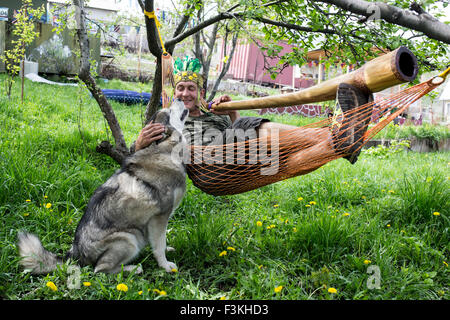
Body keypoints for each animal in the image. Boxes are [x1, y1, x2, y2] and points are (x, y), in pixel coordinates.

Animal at [17, 100, 189, 276]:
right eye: (169, 111)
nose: (178, 99)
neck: (164, 150)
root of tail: (75, 256)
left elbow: (160, 242)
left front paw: (167, 251)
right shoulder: (159, 217)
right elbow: (159, 245)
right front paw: (165, 265)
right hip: (129, 237)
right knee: (100, 269)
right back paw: (133, 269)